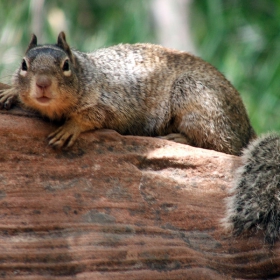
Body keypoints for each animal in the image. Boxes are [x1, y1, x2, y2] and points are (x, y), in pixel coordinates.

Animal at [0, 31, 278, 244]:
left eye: (66, 66)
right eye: (23, 65)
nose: (43, 84)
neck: (89, 74)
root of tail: (246, 126)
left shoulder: (114, 105)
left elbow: (93, 116)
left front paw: (71, 127)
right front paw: (10, 91)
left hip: (197, 99)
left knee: (224, 145)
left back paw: (179, 138)